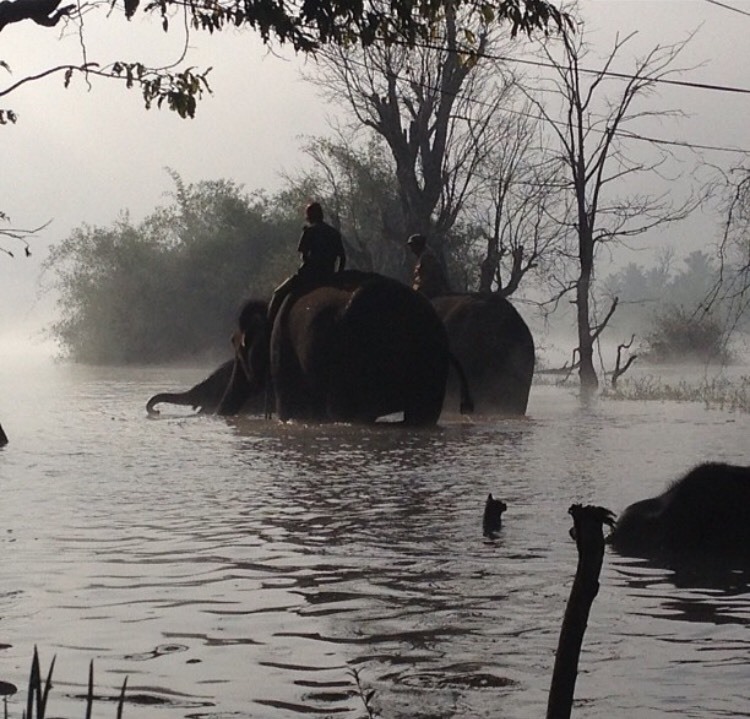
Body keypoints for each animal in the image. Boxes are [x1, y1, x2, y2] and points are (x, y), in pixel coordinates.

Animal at [220, 272, 472, 424]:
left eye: (237, 347)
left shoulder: (282, 349)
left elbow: (293, 408)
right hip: (431, 362)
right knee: (422, 414)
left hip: (351, 358)